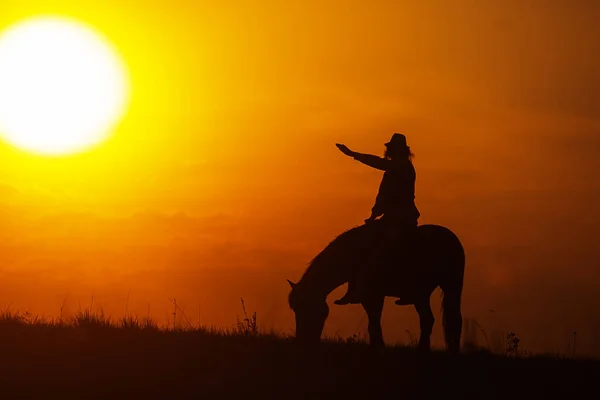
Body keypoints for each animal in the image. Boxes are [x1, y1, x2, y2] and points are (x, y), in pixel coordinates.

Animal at [288, 222, 466, 354]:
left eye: (308, 309)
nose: (303, 341)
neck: (353, 255)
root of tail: (453, 240)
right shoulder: (368, 297)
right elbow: (373, 322)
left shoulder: (373, 296)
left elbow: (373, 323)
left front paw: (377, 347)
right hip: (427, 293)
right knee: (434, 319)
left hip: (442, 288)